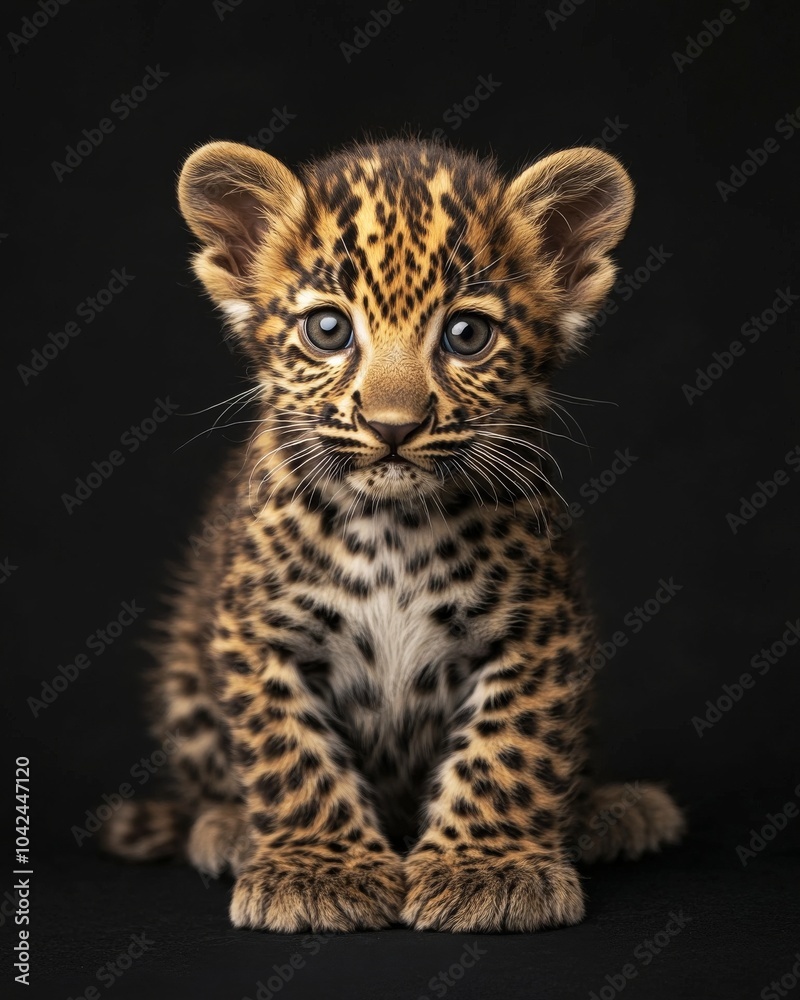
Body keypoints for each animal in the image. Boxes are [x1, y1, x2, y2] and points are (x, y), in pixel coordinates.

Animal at [101, 136, 685, 933]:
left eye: (467, 335)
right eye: (329, 330)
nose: (392, 426)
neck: (393, 528)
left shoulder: (537, 629)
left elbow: (511, 745)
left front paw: (489, 871)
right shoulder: (258, 632)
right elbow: (291, 753)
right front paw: (318, 872)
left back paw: (614, 812)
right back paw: (226, 828)